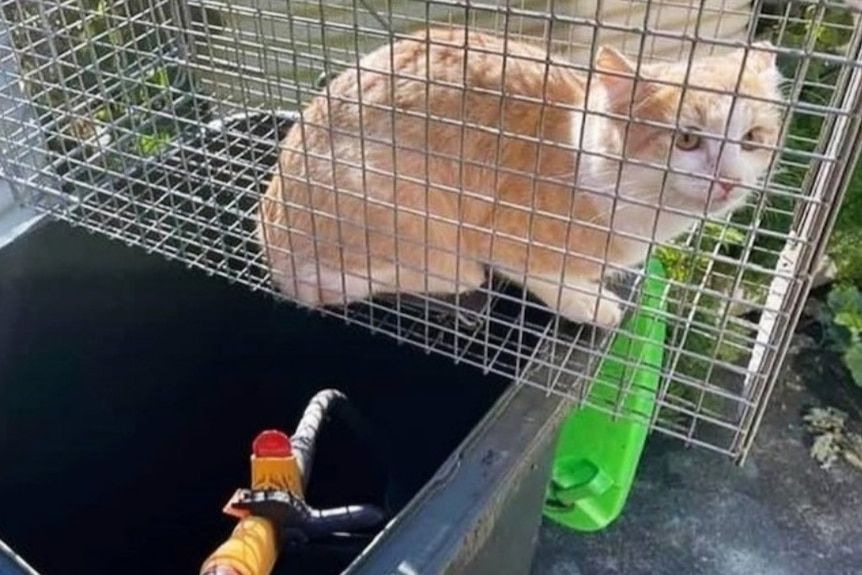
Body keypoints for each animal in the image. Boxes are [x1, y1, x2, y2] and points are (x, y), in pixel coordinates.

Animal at [253, 28, 788, 328]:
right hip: (405, 207)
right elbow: (540, 270)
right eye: (687, 140)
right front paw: (585, 298)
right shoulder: (499, 229)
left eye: (752, 139)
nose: (729, 180)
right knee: (447, 273)